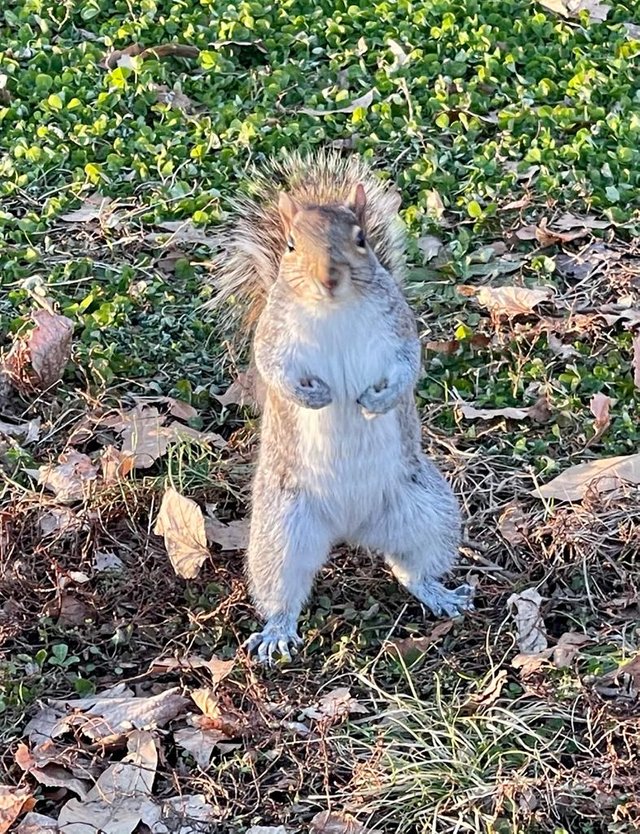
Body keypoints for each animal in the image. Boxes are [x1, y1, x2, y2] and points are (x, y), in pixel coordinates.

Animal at [210, 151, 476, 664]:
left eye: (361, 239)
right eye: (291, 245)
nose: (328, 278)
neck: (332, 309)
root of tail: (349, 527)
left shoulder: (399, 332)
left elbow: (408, 367)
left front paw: (377, 401)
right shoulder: (273, 337)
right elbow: (273, 369)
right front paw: (314, 397)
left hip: (427, 512)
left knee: (412, 569)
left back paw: (440, 595)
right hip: (280, 533)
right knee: (284, 592)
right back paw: (276, 631)